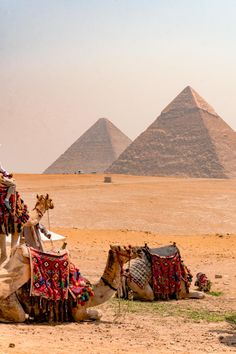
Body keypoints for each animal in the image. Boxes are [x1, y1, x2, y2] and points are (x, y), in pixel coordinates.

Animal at [0, 245, 140, 322]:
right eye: (123, 247)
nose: (139, 250)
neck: (92, 294)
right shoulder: (78, 311)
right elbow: (98, 314)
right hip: (8, 299)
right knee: (20, 316)